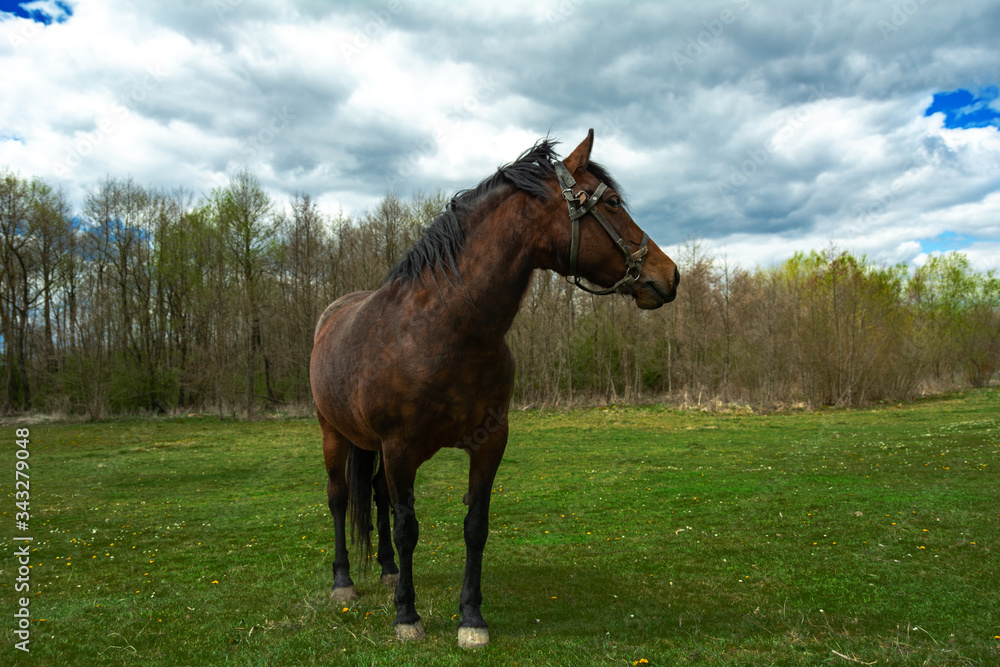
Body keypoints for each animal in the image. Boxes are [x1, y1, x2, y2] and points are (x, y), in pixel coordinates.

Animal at [308, 129, 676, 648]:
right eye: (613, 203)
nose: (669, 275)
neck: (445, 330)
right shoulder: (400, 449)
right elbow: (407, 527)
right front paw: (407, 616)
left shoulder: (488, 443)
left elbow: (474, 526)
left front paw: (471, 618)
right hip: (332, 433)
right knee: (340, 497)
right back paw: (344, 581)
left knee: (376, 496)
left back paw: (386, 570)